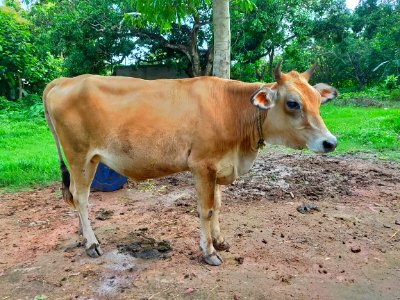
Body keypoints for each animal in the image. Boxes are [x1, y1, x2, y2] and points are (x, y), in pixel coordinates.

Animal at [43, 62, 338, 264]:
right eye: (292, 103)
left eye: (317, 101)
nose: (330, 142)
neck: (233, 111)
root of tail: (63, 80)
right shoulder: (202, 165)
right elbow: (206, 210)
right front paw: (208, 251)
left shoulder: (218, 165)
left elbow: (218, 206)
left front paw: (219, 240)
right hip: (80, 157)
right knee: (81, 198)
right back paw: (91, 244)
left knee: (74, 197)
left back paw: (82, 236)